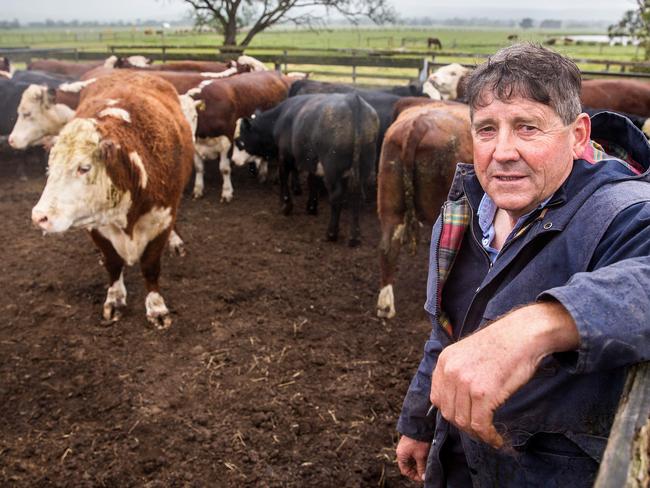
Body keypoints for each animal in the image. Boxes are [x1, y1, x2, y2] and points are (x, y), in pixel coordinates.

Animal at [30, 70, 192, 330]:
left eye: (84, 168)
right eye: (50, 167)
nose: (39, 217)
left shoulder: (162, 218)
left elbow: (150, 266)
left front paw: (156, 307)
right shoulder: (95, 226)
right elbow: (113, 263)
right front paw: (114, 299)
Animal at [237, 92, 380, 246]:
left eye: (240, 140)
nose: (235, 159)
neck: (280, 118)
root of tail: (353, 100)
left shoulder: (285, 156)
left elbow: (283, 177)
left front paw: (286, 205)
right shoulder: (312, 161)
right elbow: (312, 181)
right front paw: (311, 207)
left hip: (332, 169)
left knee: (337, 197)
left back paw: (331, 233)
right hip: (363, 167)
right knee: (357, 195)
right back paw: (355, 236)